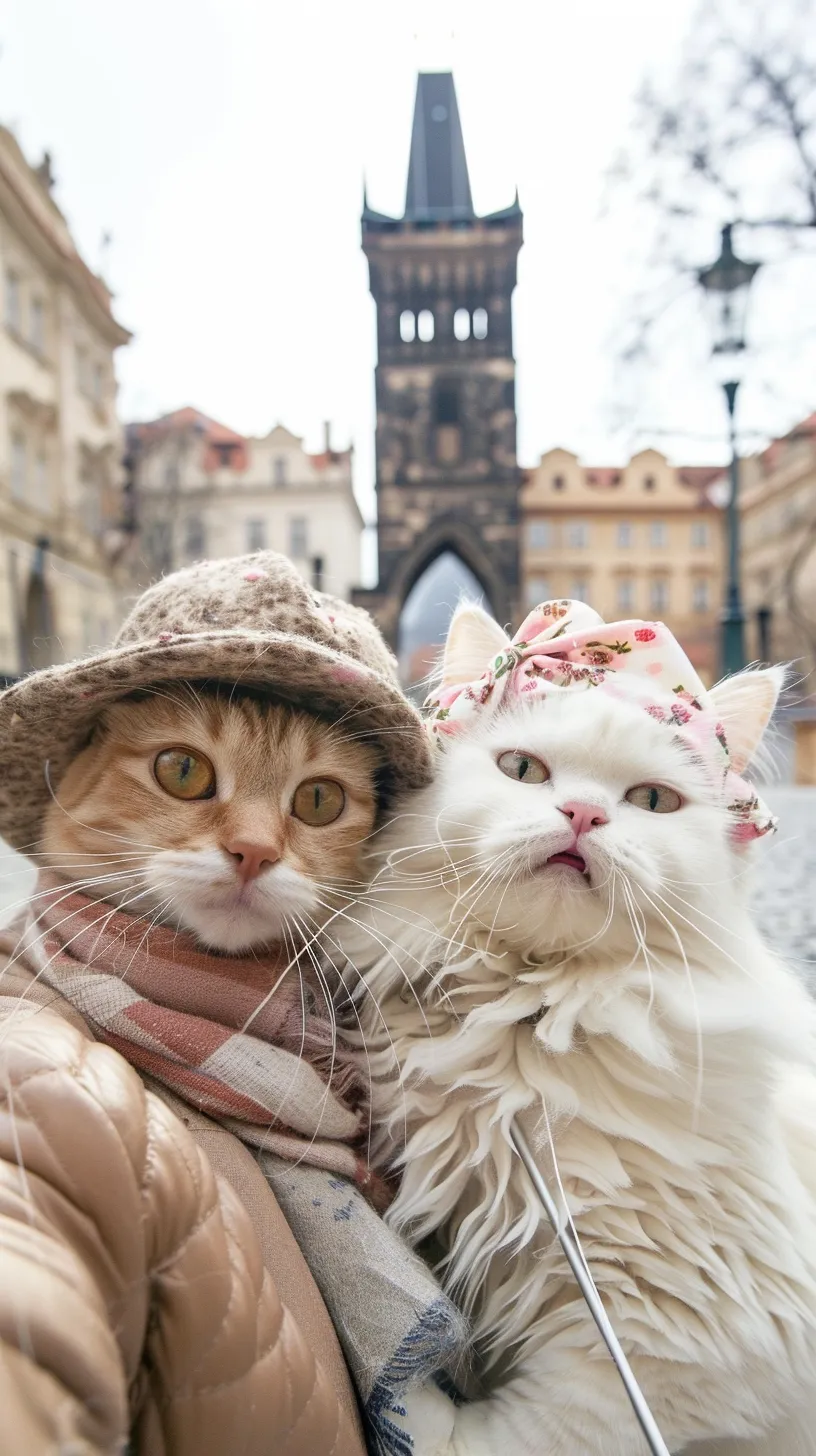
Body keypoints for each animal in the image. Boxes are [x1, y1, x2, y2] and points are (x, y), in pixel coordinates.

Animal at [339, 596, 816, 1450]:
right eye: (523, 770)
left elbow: (499, 1434)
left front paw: (403, 1393)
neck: (529, 1016)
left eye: (652, 802)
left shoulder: (682, 1338)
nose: (584, 814)